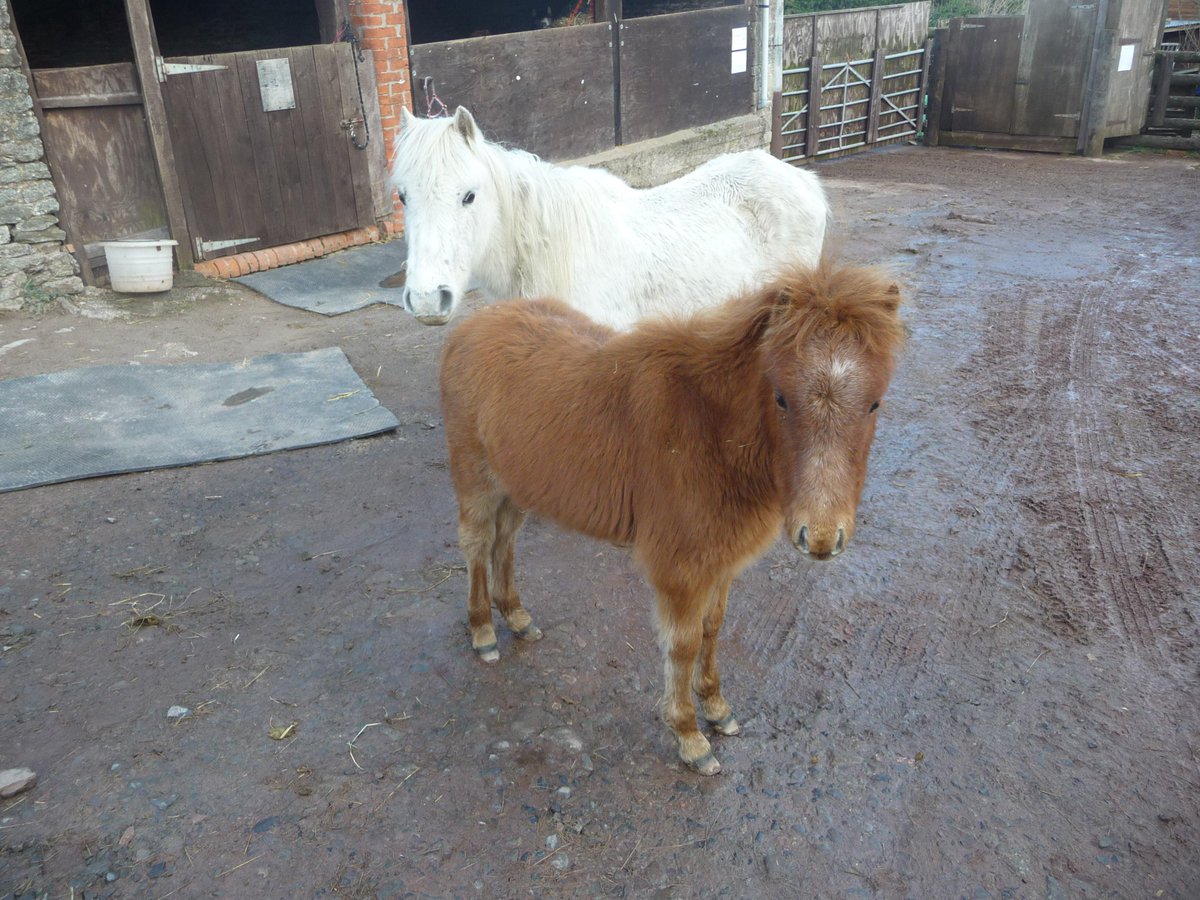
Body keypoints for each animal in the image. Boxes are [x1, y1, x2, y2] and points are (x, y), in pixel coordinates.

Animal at [439, 262, 904, 774]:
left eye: (875, 403)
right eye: (781, 397)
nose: (820, 538)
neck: (711, 430)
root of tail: (470, 327)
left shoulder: (720, 563)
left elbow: (712, 630)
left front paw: (717, 709)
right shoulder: (681, 570)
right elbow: (682, 645)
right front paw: (690, 736)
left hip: (518, 485)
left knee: (505, 540)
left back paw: (517, 616)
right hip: (477, 480)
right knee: (477, 542)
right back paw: (483, 631)